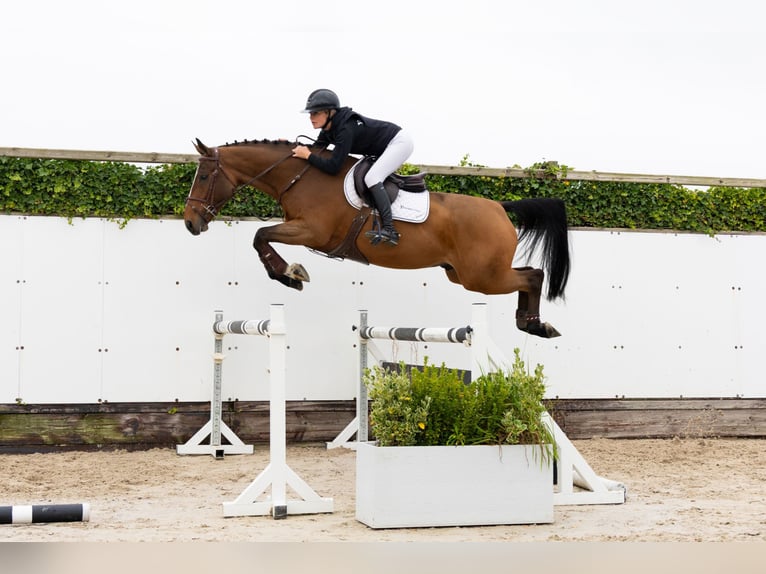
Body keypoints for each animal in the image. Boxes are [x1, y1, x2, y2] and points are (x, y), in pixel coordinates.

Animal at [184, 138, 570, 338]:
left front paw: (291, 274)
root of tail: (500, 207)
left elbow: (260, 235)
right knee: (527, 274)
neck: (302, 176)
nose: (190, 223)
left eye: (202, 177)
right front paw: (289, 274)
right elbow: (261, 237)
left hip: (482, 277)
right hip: (463, 274)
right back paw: (531, 324)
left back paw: (537, 325)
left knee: (533, 275)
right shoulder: (301, 228)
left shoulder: (312, 231)